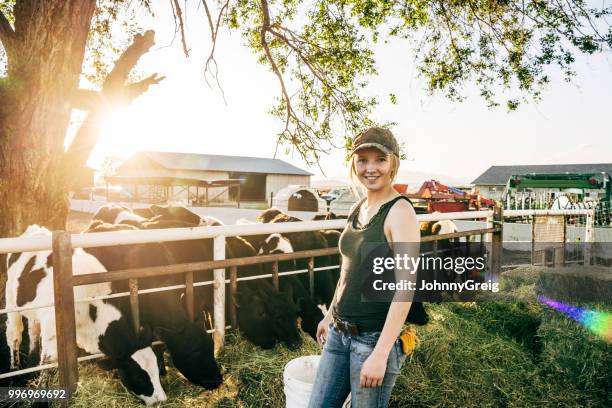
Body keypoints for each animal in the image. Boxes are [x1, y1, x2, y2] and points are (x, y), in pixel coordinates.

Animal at [5, 225, 167, 406]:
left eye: (157, 369)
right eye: (138, 377)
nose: (162, 400)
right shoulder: (52, 330)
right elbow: (48, 362)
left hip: (35, 312)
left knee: (33, 332)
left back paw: (32, 363)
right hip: (11, 302)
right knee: (14, 336)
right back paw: (14, 370)